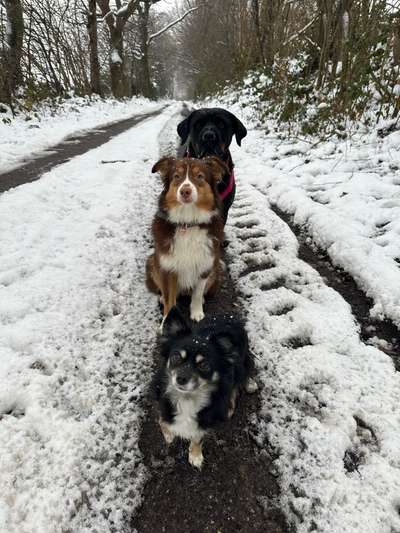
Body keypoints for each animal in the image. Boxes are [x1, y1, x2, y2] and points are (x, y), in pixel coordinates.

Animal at [145, 154, 227, 320]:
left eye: (200, 176)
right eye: (177, 176)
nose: (185, 191)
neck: (188, 223)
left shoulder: (205, 265)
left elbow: (197, 293)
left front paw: (196, 312)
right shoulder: (166, 268)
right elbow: (169, 299)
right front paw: (167, 320)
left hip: (215, 269)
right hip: (152, 262)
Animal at [153, 306, 256, 468]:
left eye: (204, 365)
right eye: (176, 357)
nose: (181, 379)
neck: (187, 398)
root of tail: (230, 316)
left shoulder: (204, 421)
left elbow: (197, 438)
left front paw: (195, 455)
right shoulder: (163, 404)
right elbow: (162, 421)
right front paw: (169, 434)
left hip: (239, 364)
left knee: (239, 379)